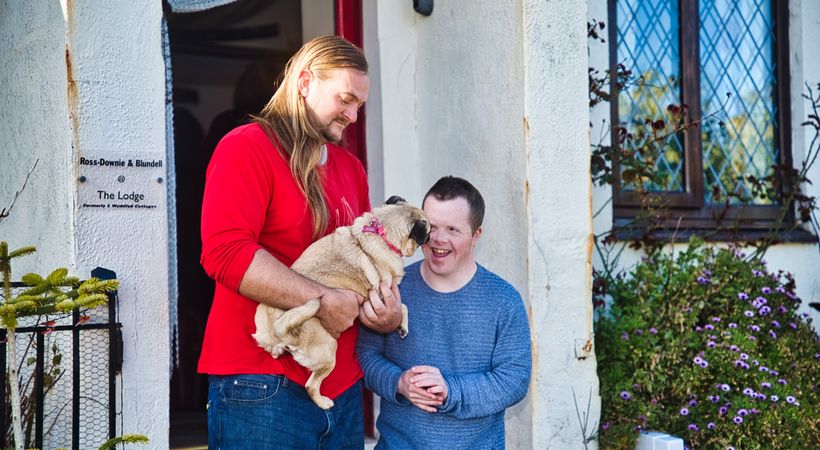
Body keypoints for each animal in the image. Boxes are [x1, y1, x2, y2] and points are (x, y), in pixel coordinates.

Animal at [252, 196, 430, 409]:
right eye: (429, 229)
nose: (430, 237)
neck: (383, 232)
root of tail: (285, 334)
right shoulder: (380, 296)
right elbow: (403, 306)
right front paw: (403, 326)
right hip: (329, 352)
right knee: (311, 386)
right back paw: (323, 402)